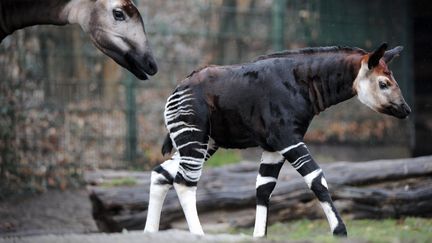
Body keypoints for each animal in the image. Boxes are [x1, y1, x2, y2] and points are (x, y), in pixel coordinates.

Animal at [143, 43, 410, 237]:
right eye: (384, 83)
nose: (406, 110)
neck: (304, 84)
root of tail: (177, 90)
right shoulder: (287, 138)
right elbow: (316, 179)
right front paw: (340, 230)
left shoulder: (273, 145)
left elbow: (264, 188)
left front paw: (259, 236)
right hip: (194, 136)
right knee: (184, 182)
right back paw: (198, 235)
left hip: (205, 141)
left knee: (162, 173)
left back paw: (150, 233)